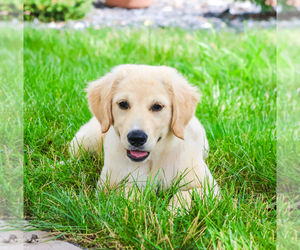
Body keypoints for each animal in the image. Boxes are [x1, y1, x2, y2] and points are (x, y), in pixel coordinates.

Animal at [70, 64, 220, 207]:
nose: (136, 138)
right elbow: (127, 191)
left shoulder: (210, 189)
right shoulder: (106, 187)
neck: (153, 159)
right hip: (85, 140)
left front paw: (173, 211)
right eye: (123, 104)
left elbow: (185, 194)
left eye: (157, 106)